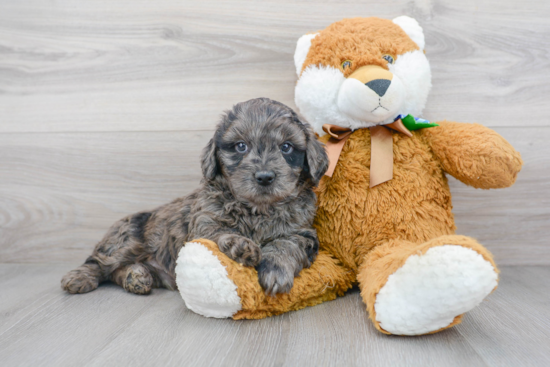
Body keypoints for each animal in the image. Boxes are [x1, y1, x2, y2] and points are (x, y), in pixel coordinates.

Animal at [61, 97, 328, 296]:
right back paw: (80, 277)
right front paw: (238, 244)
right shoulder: (203, 223)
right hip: (125, 239)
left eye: (286, 147)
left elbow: (286, 244)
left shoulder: (303, 232)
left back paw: (135, 277)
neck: (257, 209)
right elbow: (218, 233)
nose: (264, 177)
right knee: (99, 262)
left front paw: (275, 270)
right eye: (241, 146)